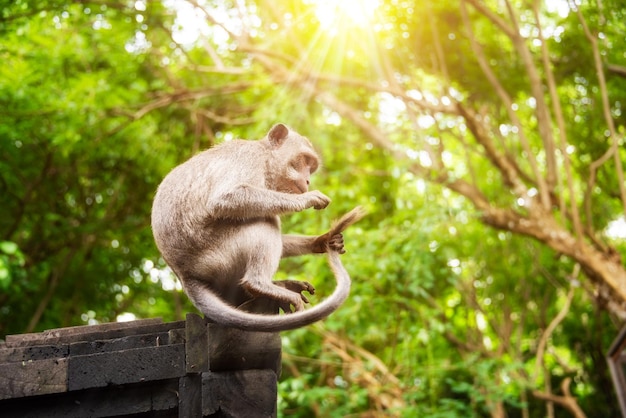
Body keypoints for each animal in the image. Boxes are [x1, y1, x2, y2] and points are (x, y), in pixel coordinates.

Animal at [151, 122, 364, 332]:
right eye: (303, 160)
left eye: (311, 167)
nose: (307, 180)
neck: (265, 158)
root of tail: (186, 275)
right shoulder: (249, 158)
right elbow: (226, 197)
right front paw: (308, 198)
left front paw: (322, 241)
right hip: (216, 254)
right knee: (265, 221)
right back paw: (260, 284)